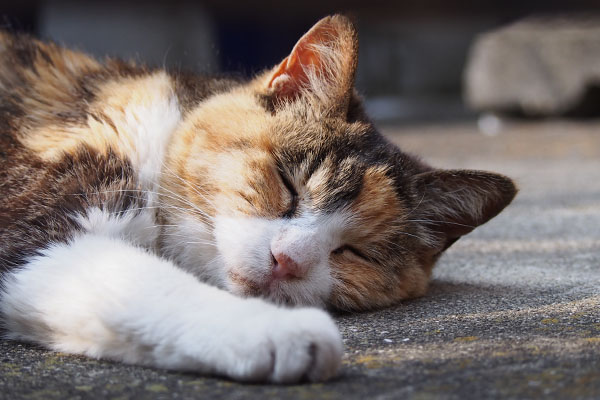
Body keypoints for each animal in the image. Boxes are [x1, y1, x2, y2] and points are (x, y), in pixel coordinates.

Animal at [0, 15, 516, 382]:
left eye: (357, 252)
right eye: (287, 184)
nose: (287, 260)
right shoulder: (39, 222)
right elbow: (139, 281)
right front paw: (277, 332)